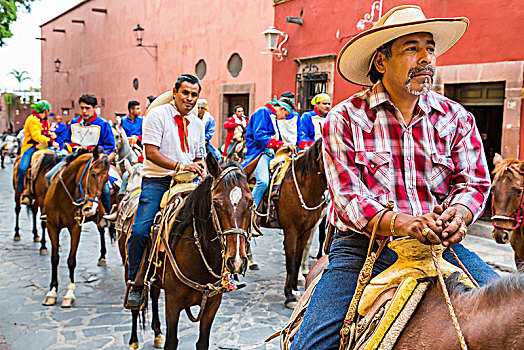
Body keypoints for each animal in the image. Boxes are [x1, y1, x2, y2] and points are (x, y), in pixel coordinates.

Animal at [42, 146, 110, 308]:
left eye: (106, 179)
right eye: (93, 174)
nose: (90, 209)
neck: (61, 196)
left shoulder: (75, 228)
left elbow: (71, 261)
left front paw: (69, 294)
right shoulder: (51, 226)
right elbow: (55, 258)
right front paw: (52, 292)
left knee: (102, 230)